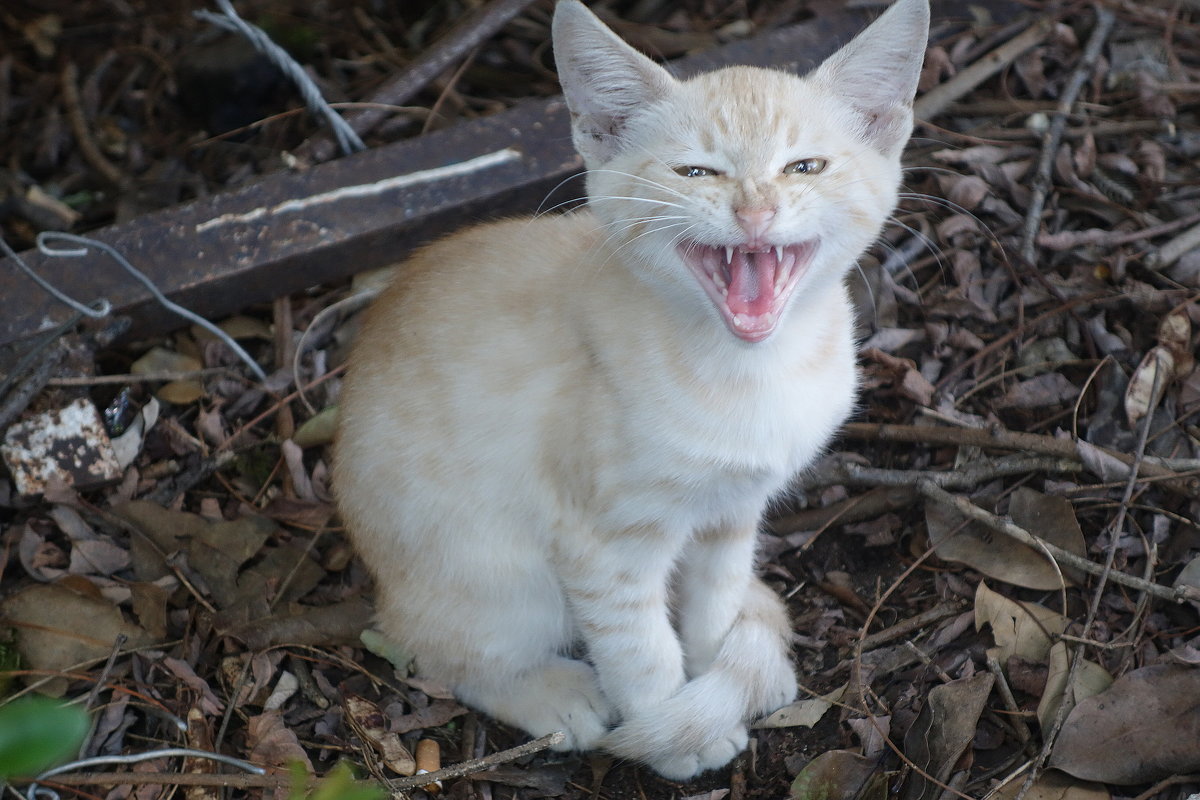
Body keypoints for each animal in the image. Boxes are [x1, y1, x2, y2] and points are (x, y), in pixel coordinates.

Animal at [333, 0, 931, 777]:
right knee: (429, 646)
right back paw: (550, 694)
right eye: (697, 170)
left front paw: (712, 671)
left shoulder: (732, 510)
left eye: (804, 166)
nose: (756, 213)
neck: (749, 374)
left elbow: (714, 601)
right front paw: (672, 736)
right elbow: (639, 652)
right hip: (494, 572)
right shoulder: (601, 548)